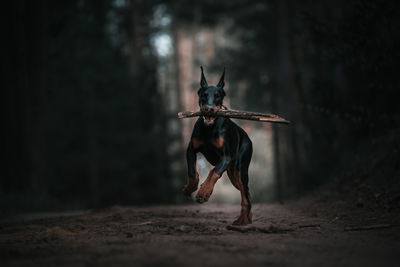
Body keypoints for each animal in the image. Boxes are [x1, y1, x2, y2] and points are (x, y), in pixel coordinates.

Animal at [182, 67, 253, 226]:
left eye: (217, 96)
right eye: (203, 95)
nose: (208, 109)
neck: (209, 128)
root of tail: (247, 137)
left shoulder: (225, 158)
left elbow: (213, 172)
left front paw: (204, 192)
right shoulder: (191, 150)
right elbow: (192, 172)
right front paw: (190, 188)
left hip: (241, 169)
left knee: (245, 193)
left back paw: (243, 220)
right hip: (233, 174)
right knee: (246, 192)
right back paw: (247, 217)